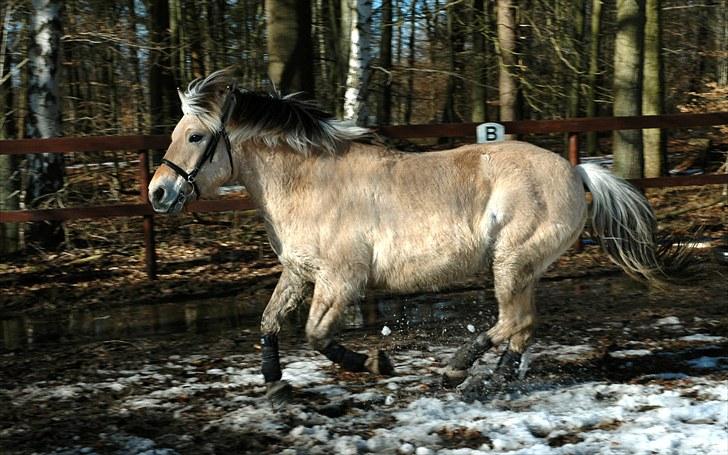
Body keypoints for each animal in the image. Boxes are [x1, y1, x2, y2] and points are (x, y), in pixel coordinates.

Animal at [148, 69, 684, 400]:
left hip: (512, 263)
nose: (158, 192)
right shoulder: (300, 272)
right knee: (522, 327)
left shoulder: (341, 281)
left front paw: (376, 364)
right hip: (522, 268)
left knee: (513, 322)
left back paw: (457, 370)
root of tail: (576, 171)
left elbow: (317, 334)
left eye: (195, 136)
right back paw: (487, 382)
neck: (311, 183)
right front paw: (277, 386)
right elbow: (269, 322)